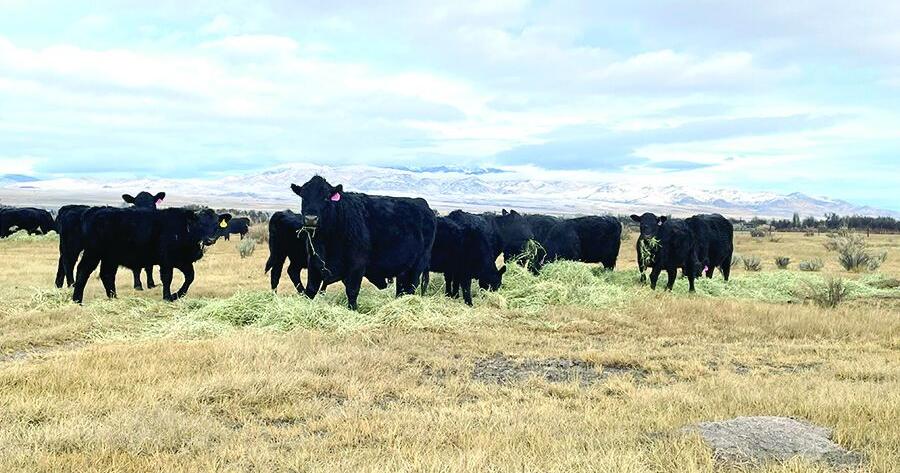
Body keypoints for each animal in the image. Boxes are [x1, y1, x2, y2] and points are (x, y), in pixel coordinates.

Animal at [72, 207, 231, 303]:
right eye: (201, 224)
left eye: (216, 224)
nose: (210, 239)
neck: (185, 228)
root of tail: (94, 210)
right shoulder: (167, 260)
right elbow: (167, 278)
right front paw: (167, 297)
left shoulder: (182, 260)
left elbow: (190, 277)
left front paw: (177, 295)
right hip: (93, 252)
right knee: (83, 270)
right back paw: (77, 300)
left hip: (110, 257)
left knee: (107, 274)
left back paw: (114, 298)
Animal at [291, 175, 436, 310]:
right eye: (303, 197)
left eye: (326, 198)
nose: (310, 219)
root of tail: (423, 204)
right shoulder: (314, 262)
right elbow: (310, 290)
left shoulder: (357, 265)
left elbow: (352, 291)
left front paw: (353, 310)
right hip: (403, 268)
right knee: (401, 289)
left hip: (418, 264)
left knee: (411, 287)